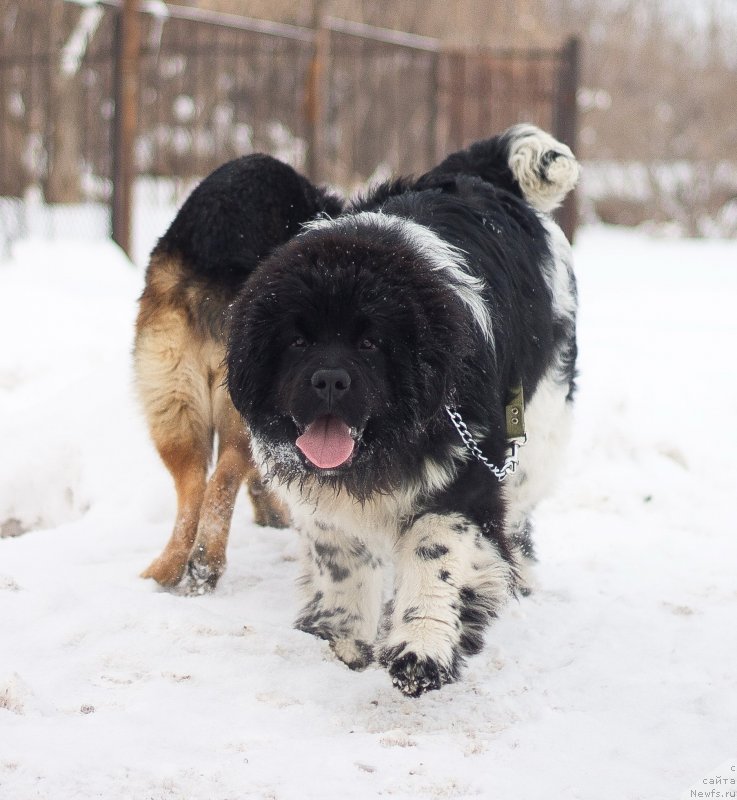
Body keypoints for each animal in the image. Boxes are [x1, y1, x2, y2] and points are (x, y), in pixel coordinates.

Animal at [227, 123, 576, 692]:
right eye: (297, 341)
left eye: (371, 343)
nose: (329, 379)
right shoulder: (325, 503)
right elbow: (339, 560)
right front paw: (340, 638)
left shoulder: (465, 477)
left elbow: (436, 552)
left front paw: (424, 648)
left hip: (539, 425)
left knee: (519, 512)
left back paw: (517, 578)